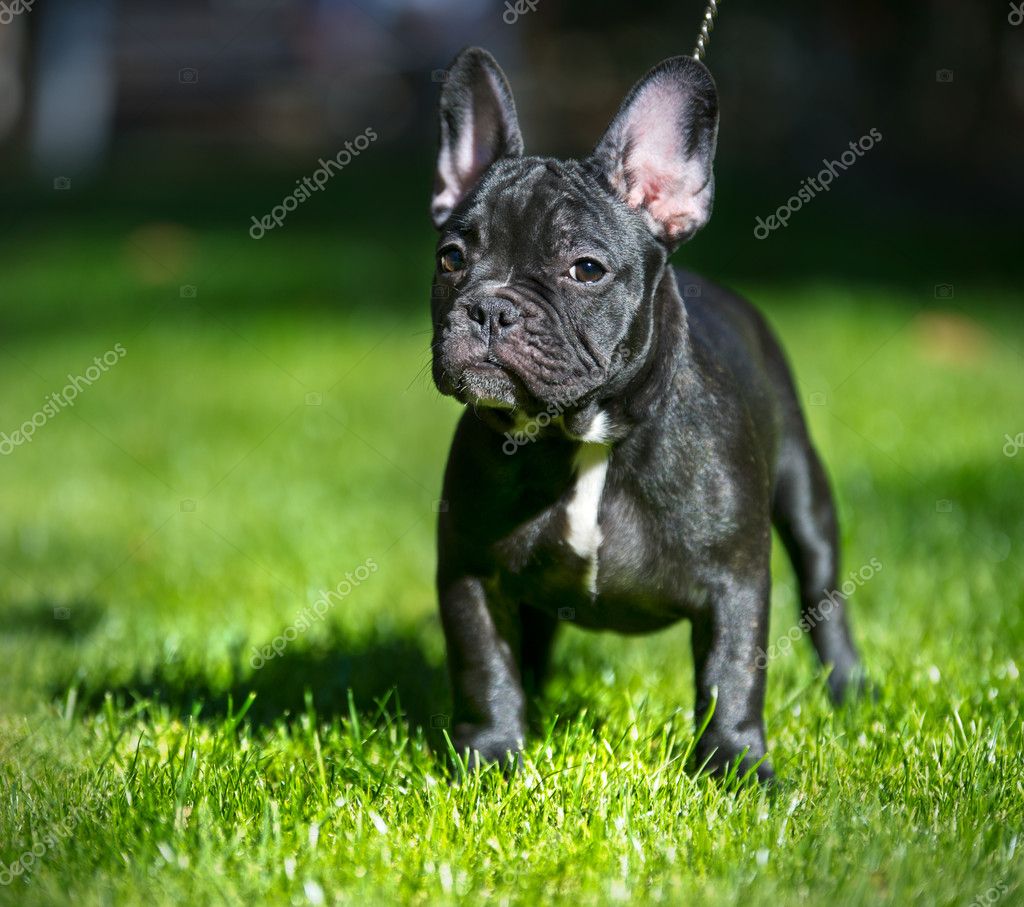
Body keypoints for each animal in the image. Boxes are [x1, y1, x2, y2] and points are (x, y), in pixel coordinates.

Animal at [428, 46, 860, 782]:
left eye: (585, 269)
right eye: (451, 258)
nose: (489, 306)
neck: (583, 436)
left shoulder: (734, 579)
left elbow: (731, 671)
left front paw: (735, 766)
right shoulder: (472, 569)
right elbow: (484, 667)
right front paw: (492, 756)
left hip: (806, 496)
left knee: (822, 591)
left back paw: (850, 688)